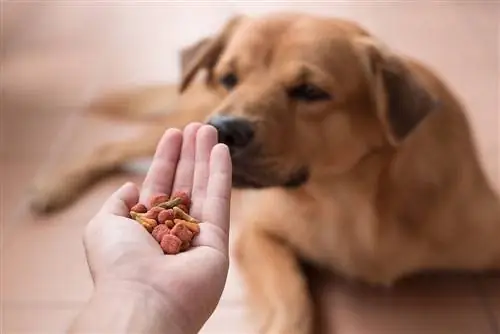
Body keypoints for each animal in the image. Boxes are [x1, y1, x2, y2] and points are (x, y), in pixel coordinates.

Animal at [31, 11, 500, 334]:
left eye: (310, 91)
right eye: (229, 78)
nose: (223, 129)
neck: (351, 199)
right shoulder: (257, 235)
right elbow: (293, 297)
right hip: (176, 124)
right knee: (109, 147)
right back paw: (52, 187)